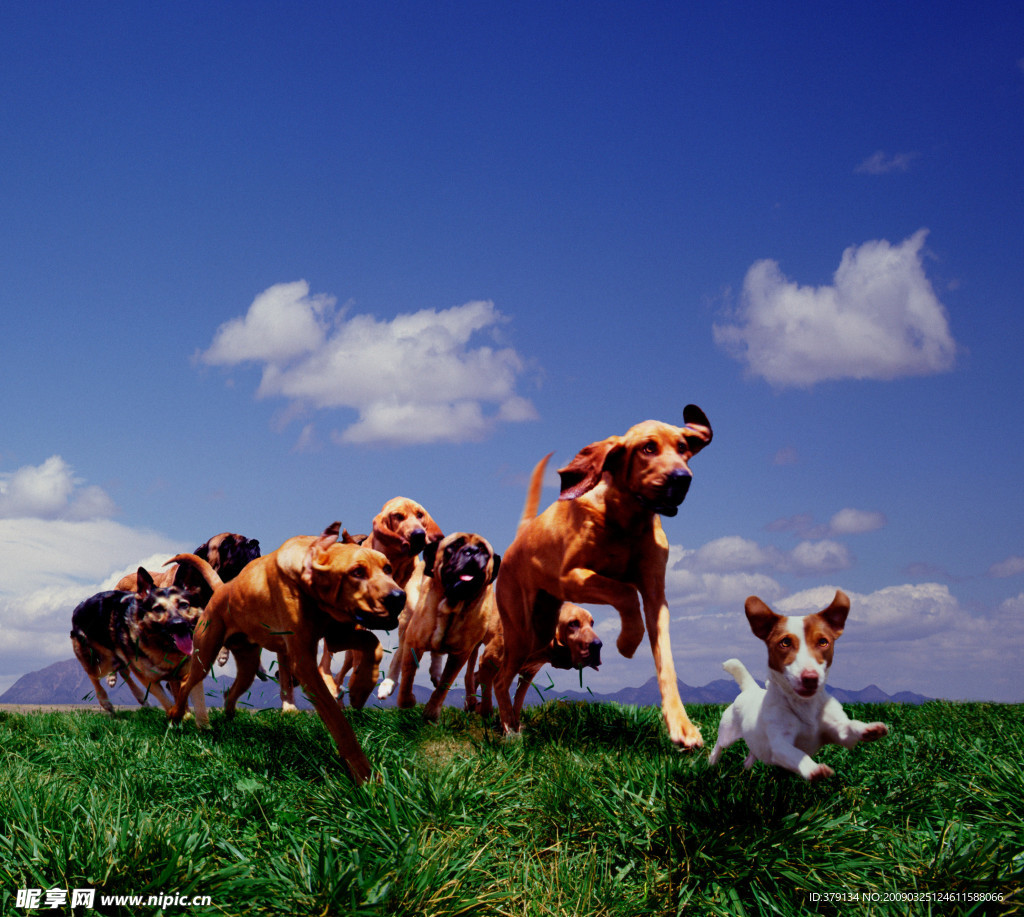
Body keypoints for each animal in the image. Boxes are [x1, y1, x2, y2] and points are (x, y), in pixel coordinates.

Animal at [395, 532, 499, 724]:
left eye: (483, 550)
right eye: (454, 546)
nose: (472, 551)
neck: (452, 607)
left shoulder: (460, 654)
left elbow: (444, 684)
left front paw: (431, 712)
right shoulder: (414, 643)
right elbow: (407, 676)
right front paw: (408, 701)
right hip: (407, 620)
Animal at [493, 407, 712, 745]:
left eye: (683, 448)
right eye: (648, 448)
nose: (682, 478)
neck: (626, 520)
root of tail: (521, 536)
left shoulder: (656, 597)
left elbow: (666, 662)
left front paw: (682, 727)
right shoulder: (570, 577)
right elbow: (625, 592)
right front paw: (628, 640)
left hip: (540, 630)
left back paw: (513, 724)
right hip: (522, 631)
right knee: (500, 679)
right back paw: (508, 730)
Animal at [712, 589, 888, 781]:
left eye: (823, 642)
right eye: (785, 642)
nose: (810, 678)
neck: (805, 705)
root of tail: (750, 688)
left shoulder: (840, 732)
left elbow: (850, 726)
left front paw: (869, 728)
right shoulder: (780, 744)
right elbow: (797, 754)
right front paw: (814, 769)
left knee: (751, 755)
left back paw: (747, 769)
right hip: (727, 733)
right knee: (719, 746)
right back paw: (711, 763)